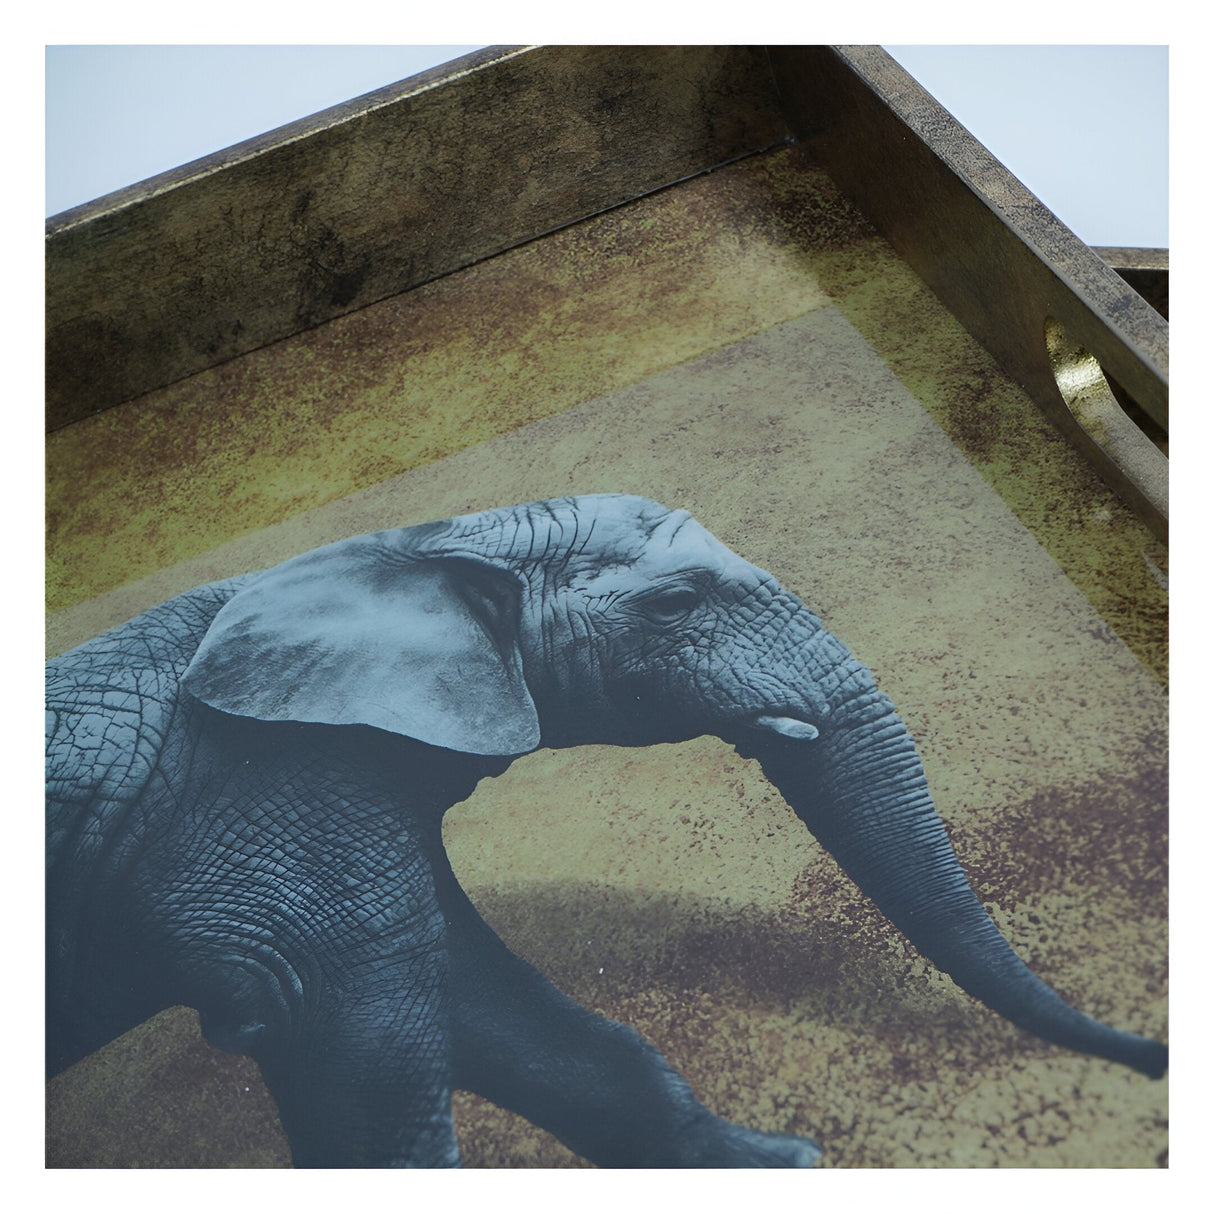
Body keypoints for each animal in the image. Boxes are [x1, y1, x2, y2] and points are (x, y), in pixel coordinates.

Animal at [46, 493, 1166, 1168]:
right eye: (674, 603)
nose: (1149, 1059)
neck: (424, 543)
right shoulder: (266, 790)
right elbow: (354, 1033)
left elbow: (486, 1000)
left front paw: (785, 1163)